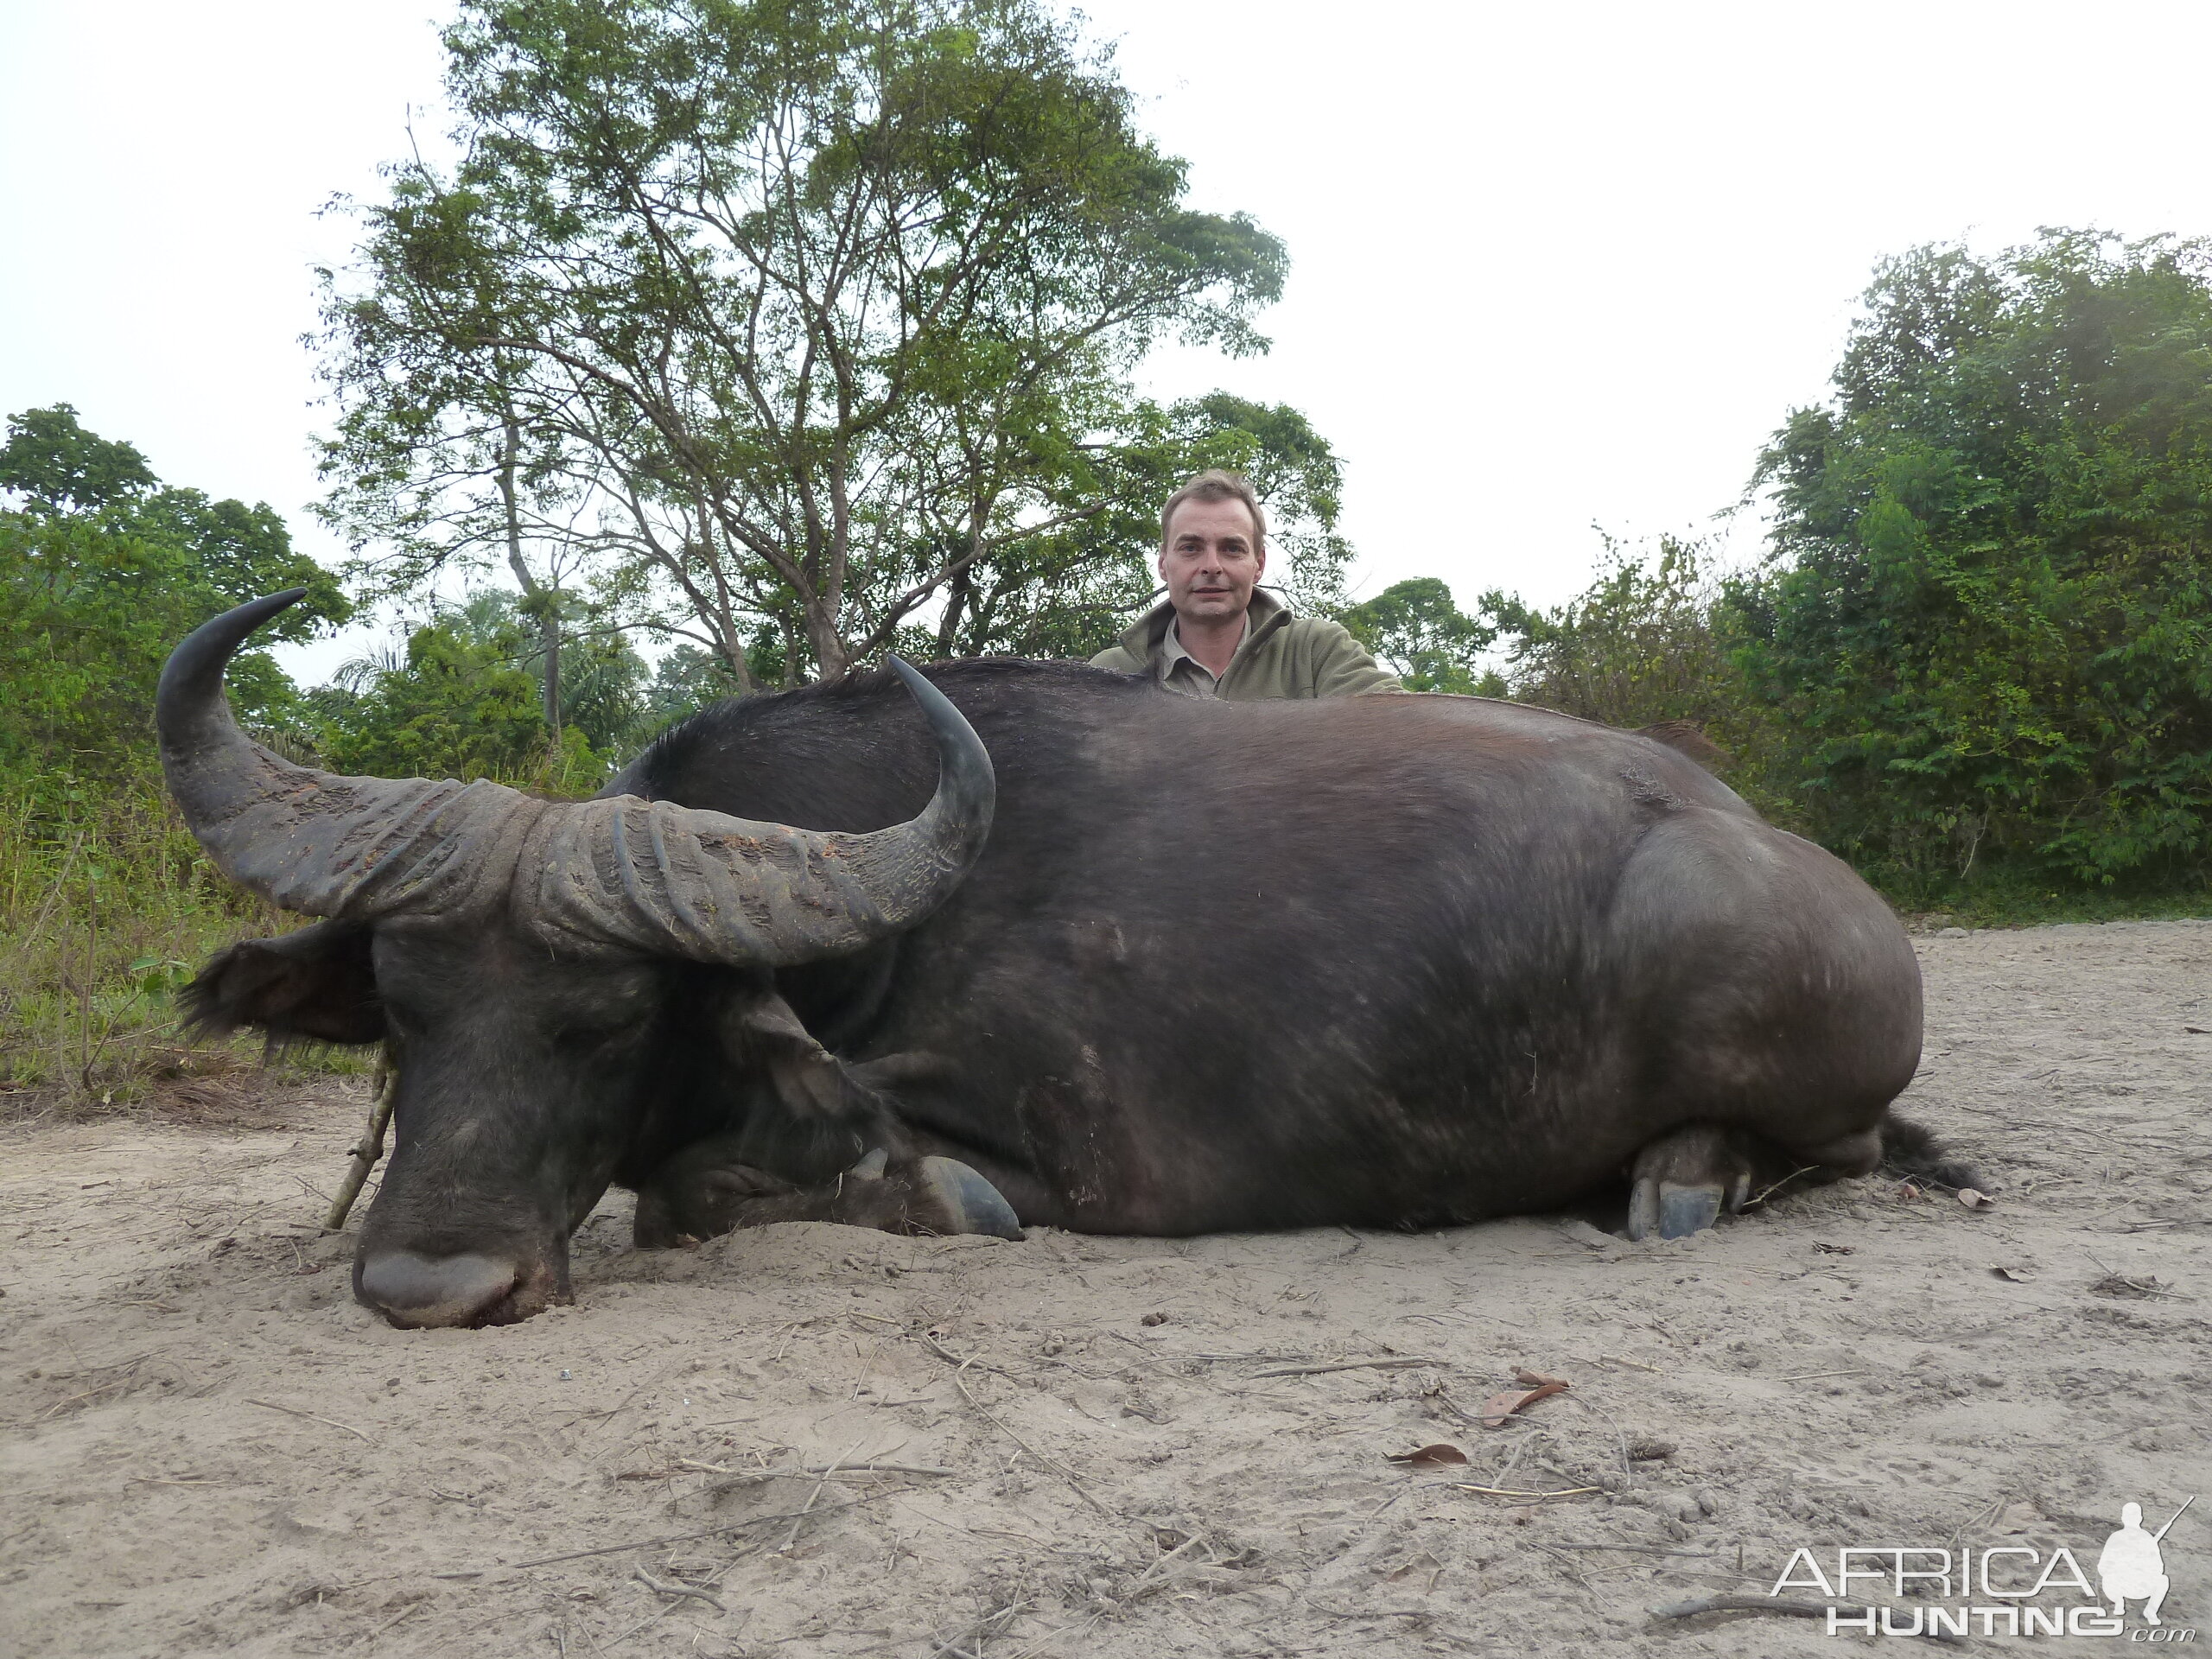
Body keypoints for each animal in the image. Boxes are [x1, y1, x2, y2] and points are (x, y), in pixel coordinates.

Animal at [163, 593, 1946, 1336]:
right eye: (405, 1014)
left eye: (604, 1020)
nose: (430, 1284)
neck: (875, 931)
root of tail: (1755, 837)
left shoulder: (1049, 1153)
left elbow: (705, 1193)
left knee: (1840, 1148)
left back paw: (1686, 1180)